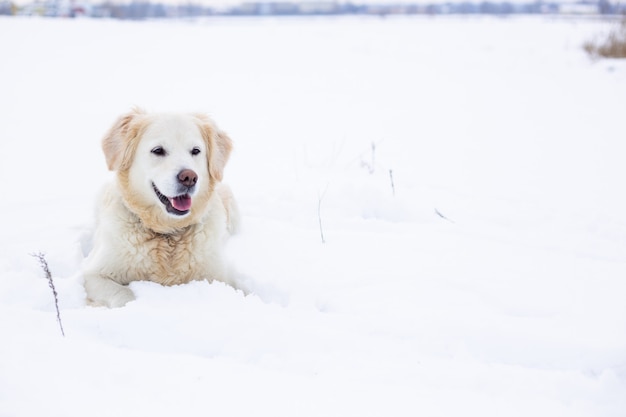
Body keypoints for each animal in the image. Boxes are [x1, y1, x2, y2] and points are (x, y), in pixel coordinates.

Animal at [80, 109, 239, 308]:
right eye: (158, 150)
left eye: (196, 151)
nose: (189, 177)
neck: (167, 233)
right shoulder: (93, 274)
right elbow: (123, 293)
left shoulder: (219, 277)